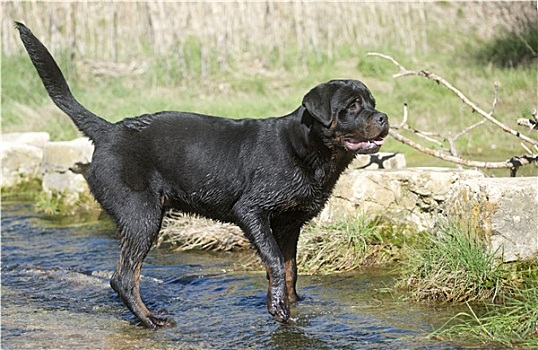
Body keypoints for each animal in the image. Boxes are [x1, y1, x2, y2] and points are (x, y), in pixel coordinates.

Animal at [14, 21, 388, 328]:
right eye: (352, 107)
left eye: (371, 102)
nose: (383, 117)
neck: (306, 149)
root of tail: (107, 131)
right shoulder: (251, 211)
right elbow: (274, 262)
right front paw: (277, 307)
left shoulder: (289, 223)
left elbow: (290, 268)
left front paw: (292, 303)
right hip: (141, 215)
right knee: (124, 277)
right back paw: (150, 319)